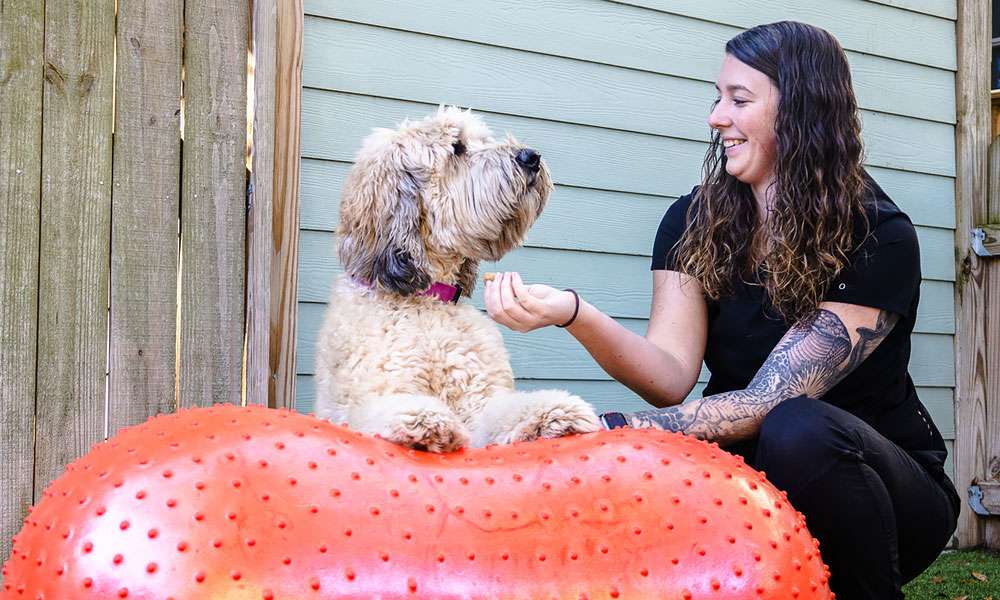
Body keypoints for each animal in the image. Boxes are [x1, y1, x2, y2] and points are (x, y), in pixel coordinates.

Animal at [312, 106, 600, 450]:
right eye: (457, 148)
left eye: (483, 140)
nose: (530, 156)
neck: (429, 299)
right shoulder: (373, 392)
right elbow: (384, 407)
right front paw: (422, 420)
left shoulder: (482, 398)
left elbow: (507, 409)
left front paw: (554, 411)